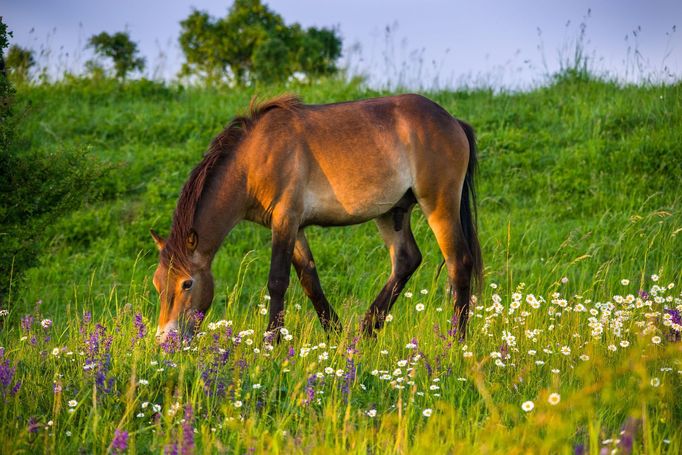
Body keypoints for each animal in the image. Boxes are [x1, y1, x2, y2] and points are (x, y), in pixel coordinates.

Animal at [151, 92, 480, 344]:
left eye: (187, 284)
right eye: (157, 283)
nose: (165, 340)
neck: (254, 157)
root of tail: (453, 121)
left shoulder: (286, 219)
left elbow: (277, 281)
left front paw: (271, 341)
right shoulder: (294, 228)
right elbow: (310, 281)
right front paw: (334, 334)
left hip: (439, 204)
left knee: (459, 263)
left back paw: (457, 341)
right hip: (392, 212)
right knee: (406, 260)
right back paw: (366, 330)